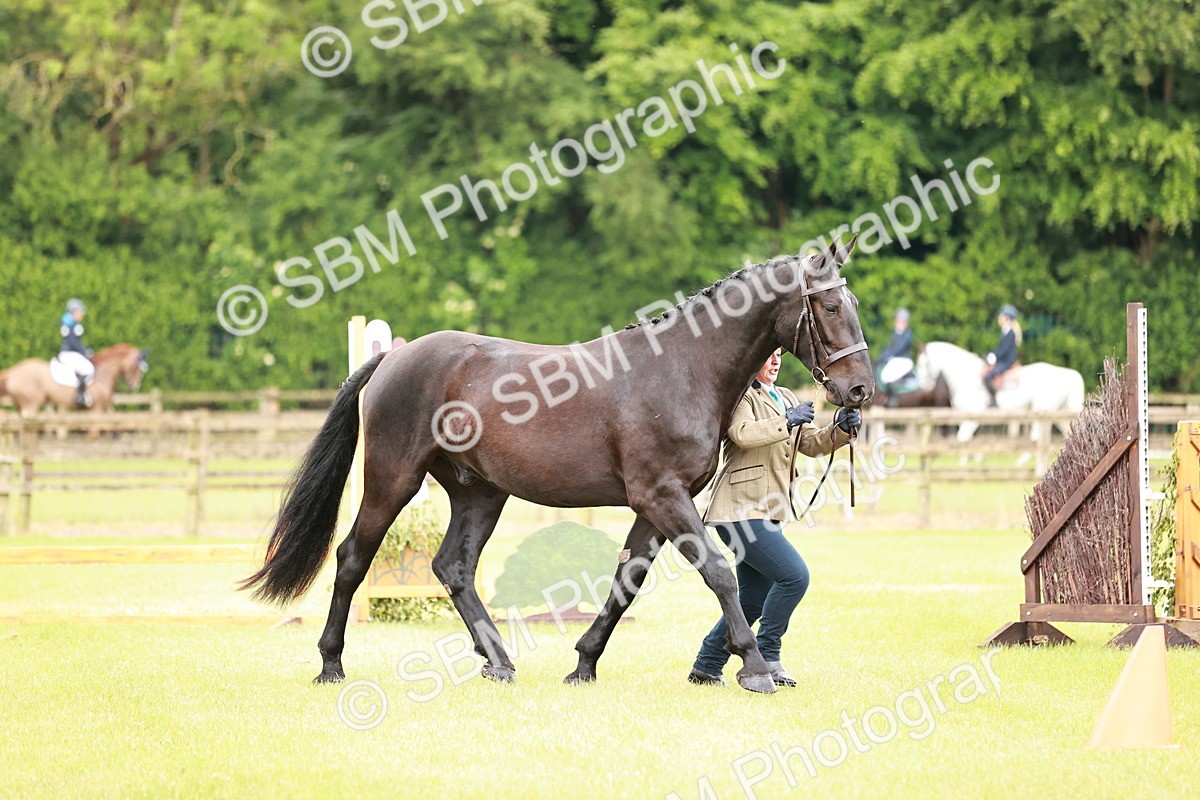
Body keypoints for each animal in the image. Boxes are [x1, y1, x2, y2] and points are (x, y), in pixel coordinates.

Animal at [0, 344, 148, 415]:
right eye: (136, 366)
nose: (135, 385)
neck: (103, 373)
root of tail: (12, 372)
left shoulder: (106, 407)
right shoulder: (97, 409)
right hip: (31, 405)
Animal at [241, 239, 875, 695]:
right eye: (830, 305)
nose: (859, 391)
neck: (683, 368)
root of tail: (395, 358)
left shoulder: (654, 506)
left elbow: (626, 582)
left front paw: (583, 665)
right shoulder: (662, 497)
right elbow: (719, 573)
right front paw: (755, 668)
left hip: (479, 492)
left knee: (454, 567)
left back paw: (498, 661)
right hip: (393, 481)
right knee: (353, 558)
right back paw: (331, 665)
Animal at [915, 341, 1085, 443]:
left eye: (925, 364)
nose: (925, 389)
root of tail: (1069, 373)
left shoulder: (973, 418)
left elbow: (963, 440)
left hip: (1042, 412)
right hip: (1059, 413)